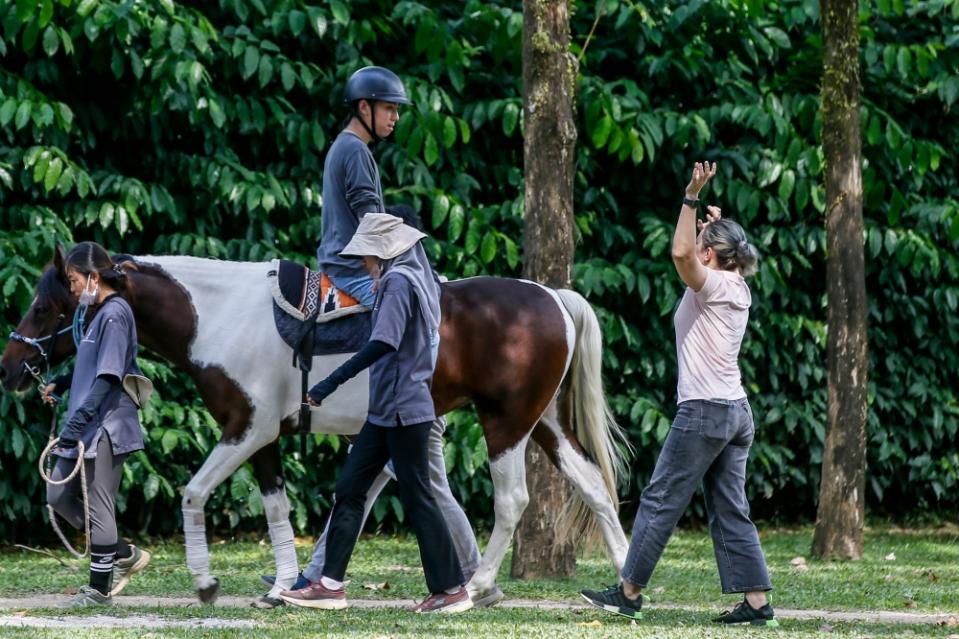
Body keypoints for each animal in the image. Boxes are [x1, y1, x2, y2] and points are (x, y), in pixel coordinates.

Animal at [1, 248, 632, 608]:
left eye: (45, 307)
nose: (8, 367)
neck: (219, 315)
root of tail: (552, 295)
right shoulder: (263, 437)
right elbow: (278, 510)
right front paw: (282, 586)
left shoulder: (245, 431)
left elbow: (193, 493)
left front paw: (206, 584)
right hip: (544, 424)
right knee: (595, 487)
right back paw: (625, 579)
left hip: (506, 423)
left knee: (512, 501)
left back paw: (477, 585)